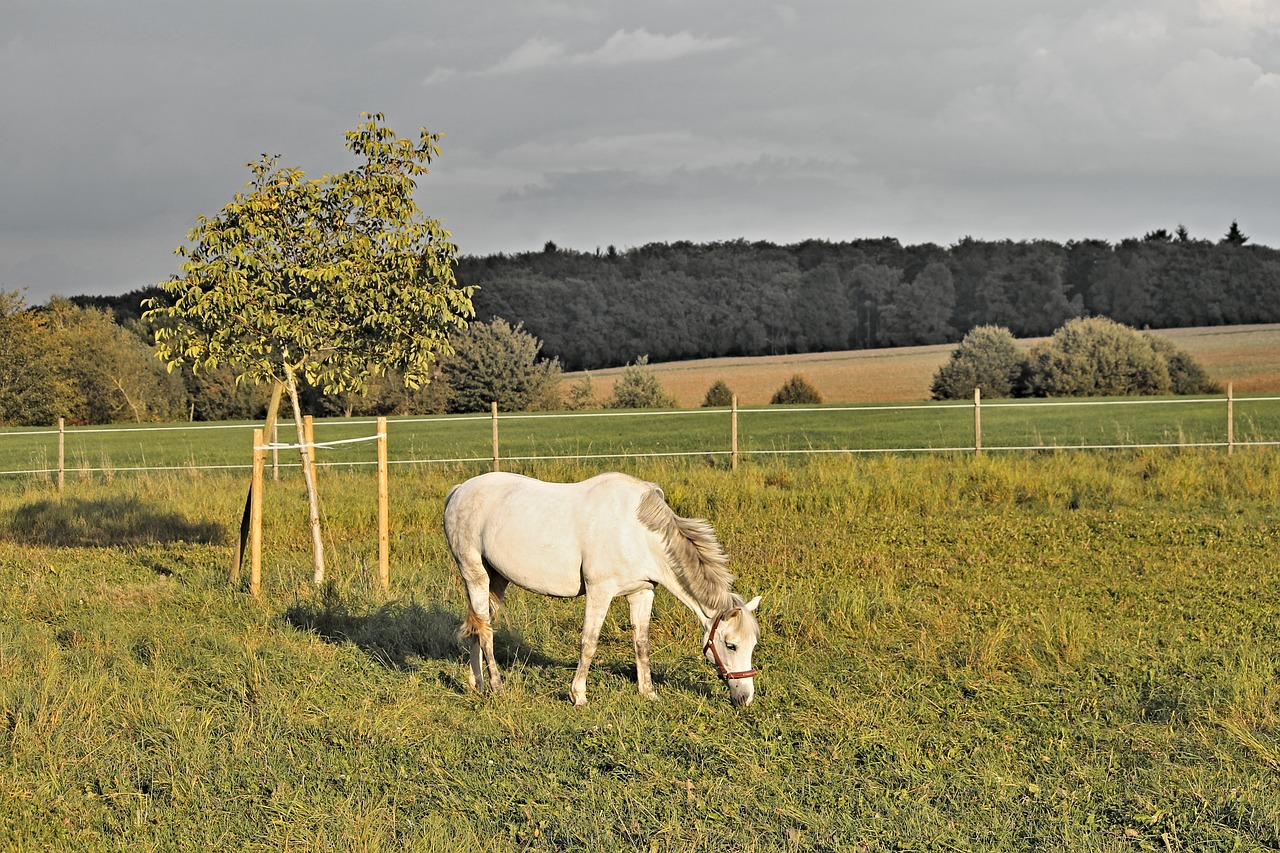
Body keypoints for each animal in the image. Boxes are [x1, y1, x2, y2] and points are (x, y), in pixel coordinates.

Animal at [442, 468, 757, 701]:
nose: (745, 698)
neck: (637, 533)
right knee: (484, 631)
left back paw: (476, 683)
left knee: (479, 624)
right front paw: (578, 695)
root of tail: (459, 490)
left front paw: (648, 693)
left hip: (496, 579)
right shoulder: (599, 592)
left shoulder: (642, 592)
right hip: (474, 573)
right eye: (730, 645)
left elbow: (641, 643)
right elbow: (589, 642)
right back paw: (496, 686)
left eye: (753, 645)